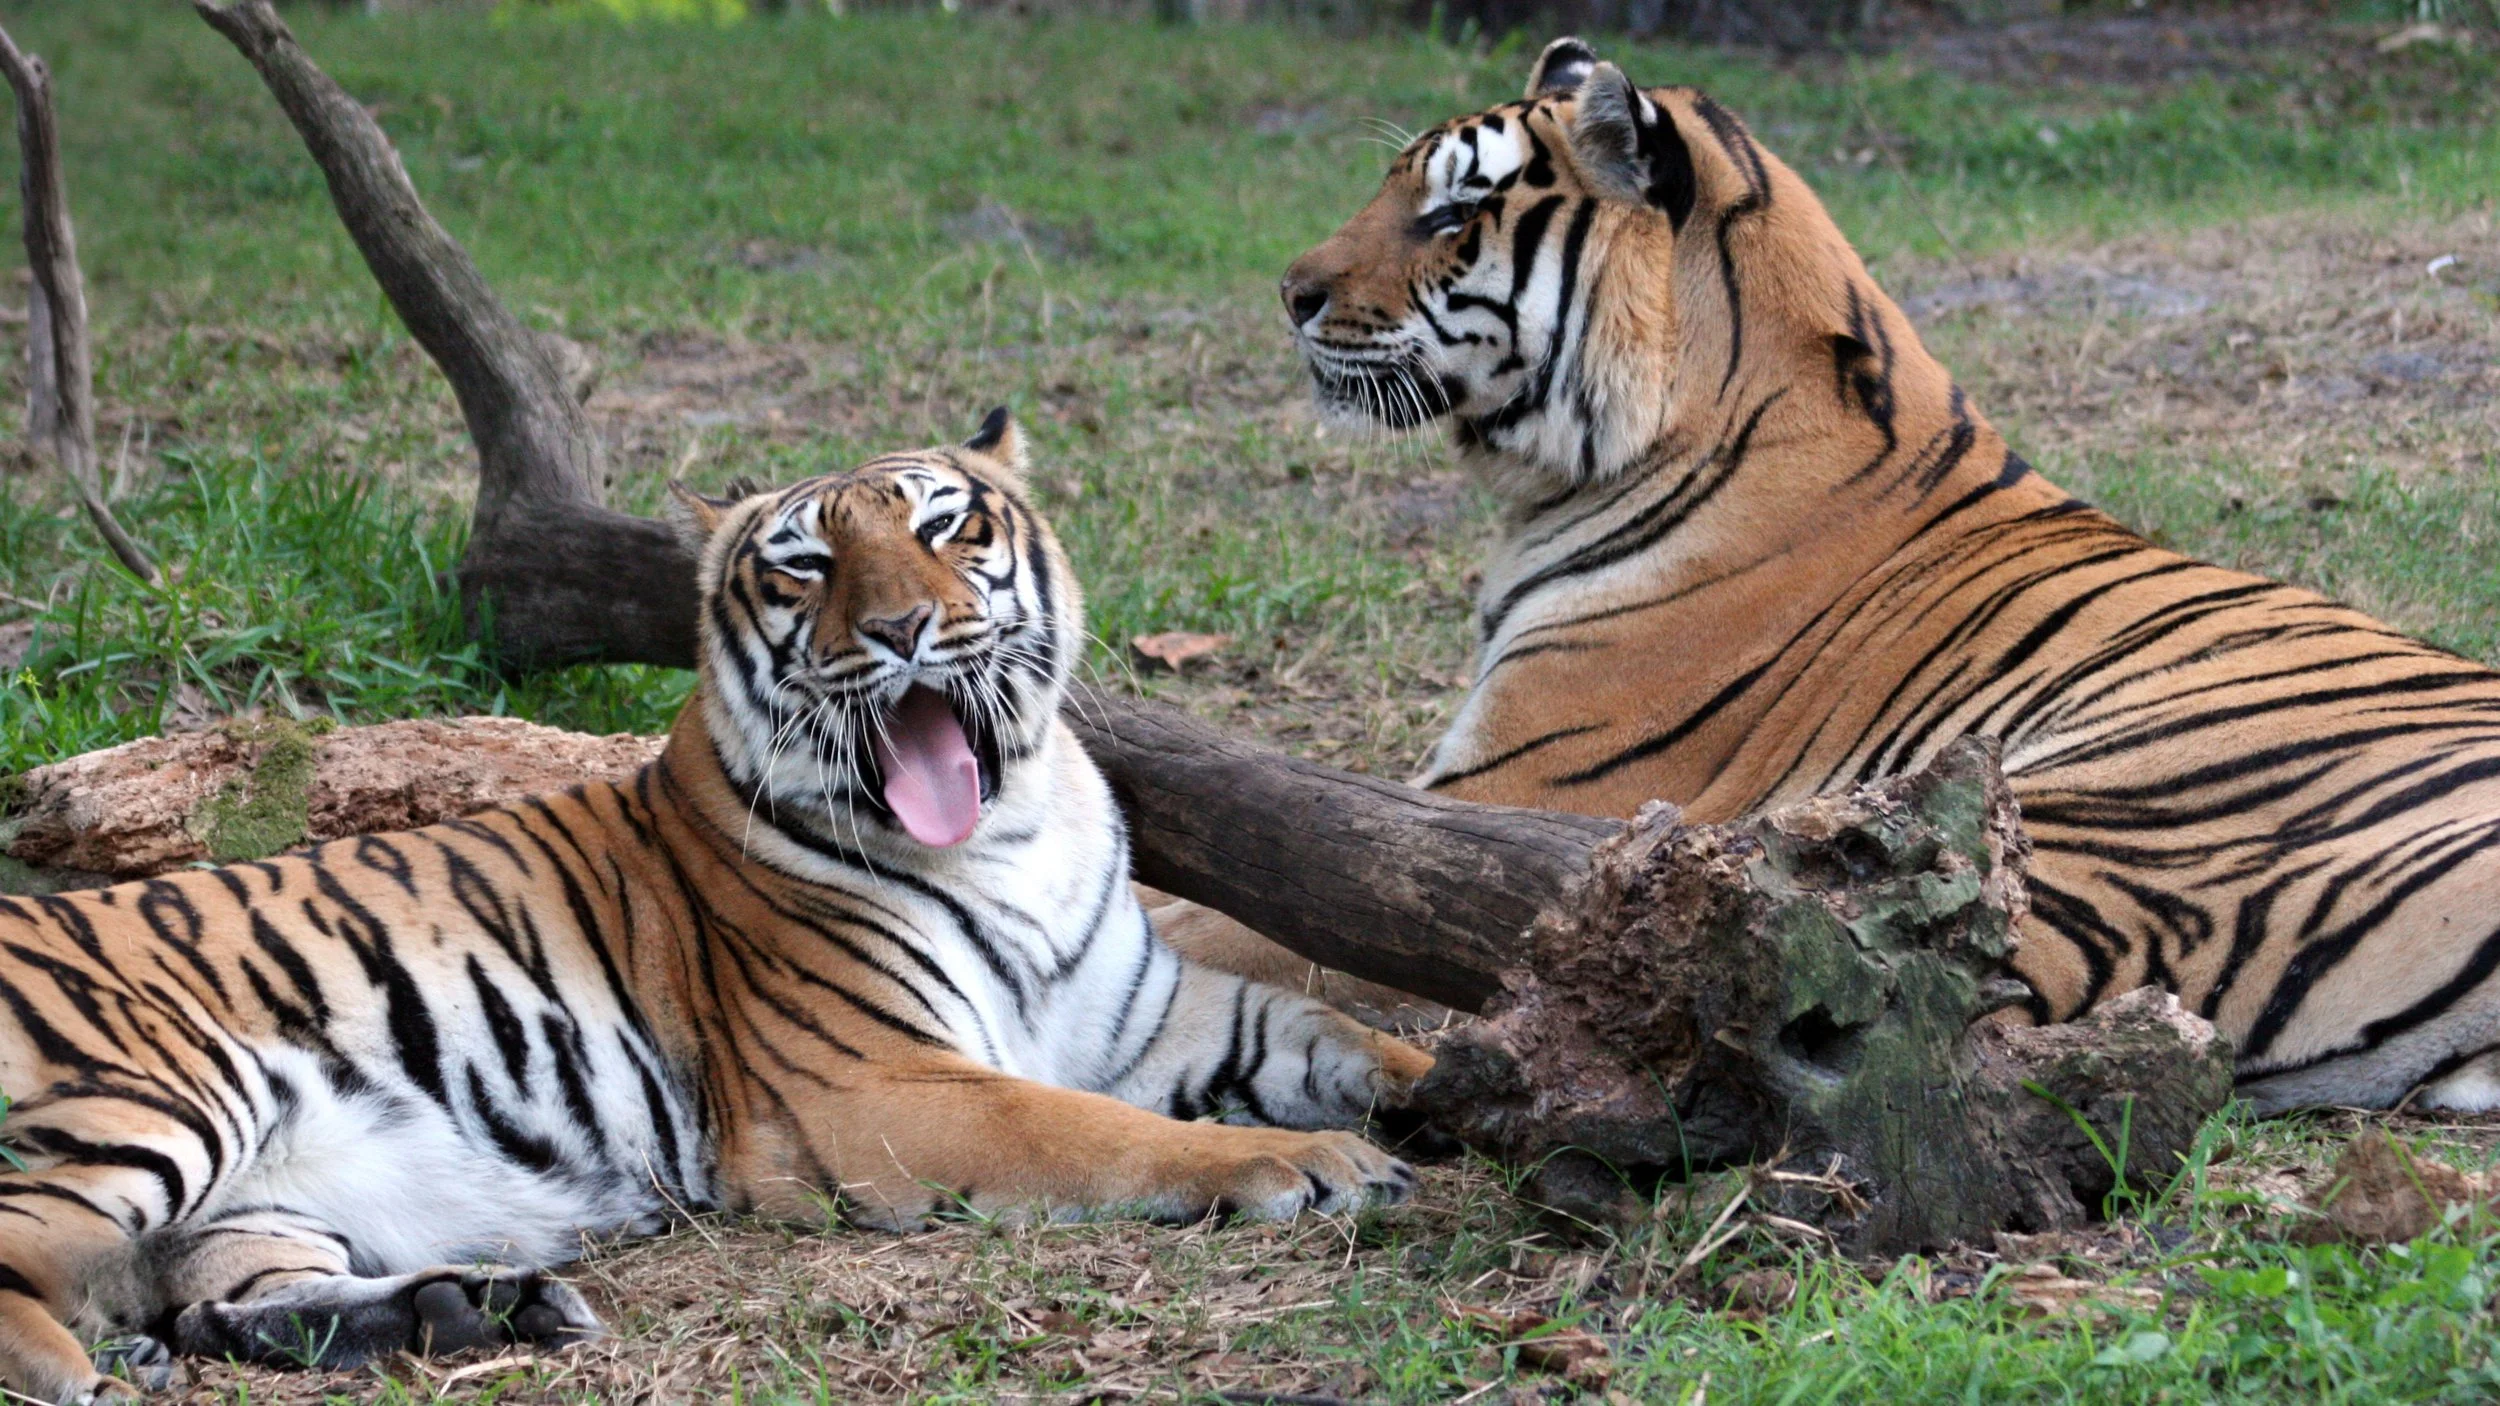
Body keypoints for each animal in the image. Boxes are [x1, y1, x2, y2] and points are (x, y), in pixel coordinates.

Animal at [0, 410, 1429, 1405]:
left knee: (214, 1297)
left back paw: (478, 1310)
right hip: (164, 1095)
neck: (1015, 832)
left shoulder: (1152, 1015)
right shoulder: (878, 1085)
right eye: (806, 564)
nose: (905, 631)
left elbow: (1337, 1032)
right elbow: (1093, 1132)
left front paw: (1454, 1086)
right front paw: (1305, 1162)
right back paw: (83, 1370)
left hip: (261, 1201)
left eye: (948, 529)